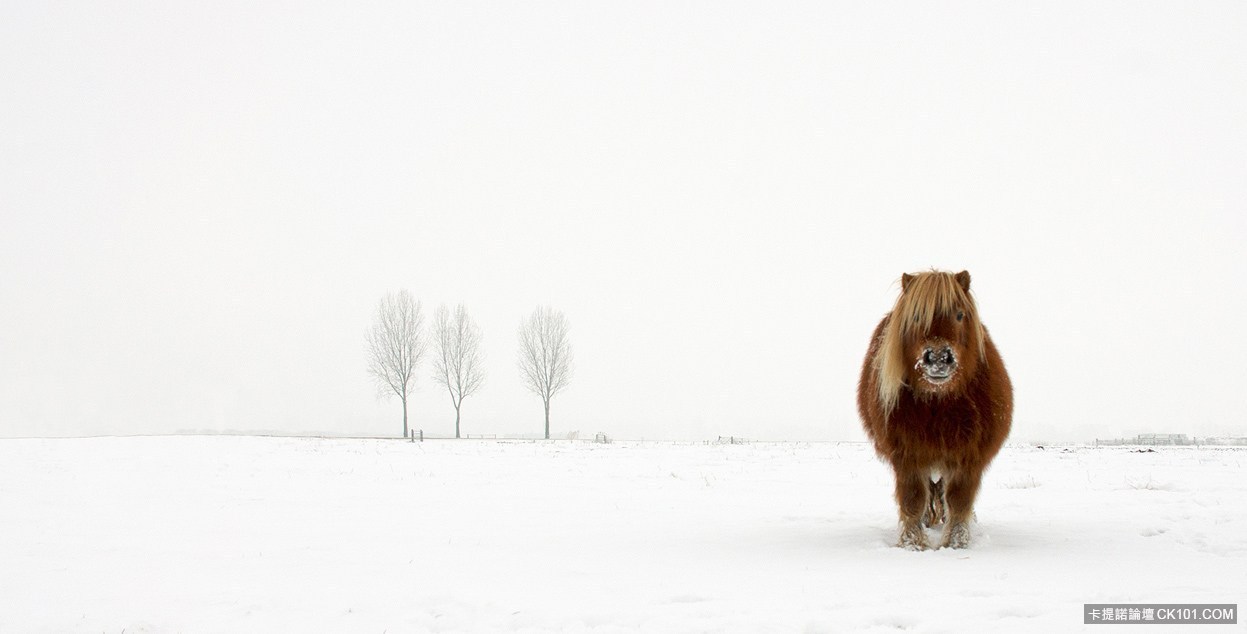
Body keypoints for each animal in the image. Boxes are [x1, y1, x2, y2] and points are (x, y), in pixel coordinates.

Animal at [857, 270, 1012, 549]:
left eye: (960, 315)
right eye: (916, 316)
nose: (938, 358)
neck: (939, 403)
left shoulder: (968, 458)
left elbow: (959, 500)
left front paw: (956, 543)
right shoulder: (907, 457)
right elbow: (913, 500)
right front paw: (912, 543)